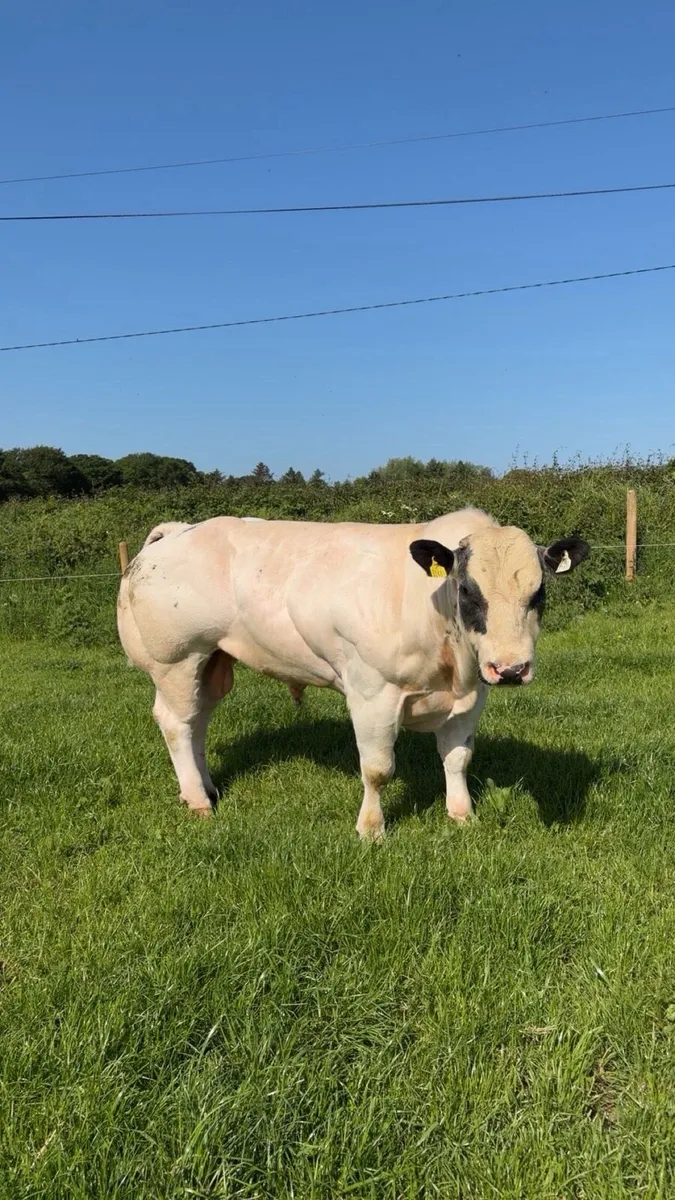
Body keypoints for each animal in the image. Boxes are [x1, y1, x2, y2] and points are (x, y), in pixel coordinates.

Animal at [117, 508, 589, 839]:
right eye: (469, 590)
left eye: (538, 592)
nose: (511, 668)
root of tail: (178, 530)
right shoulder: (372, 694)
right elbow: (378, 769)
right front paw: (371, 830)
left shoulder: (471, 697)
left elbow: (457, 758)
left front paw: (462, 815)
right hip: (177, 659)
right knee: (177, 723)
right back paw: (198, 799)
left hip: (213, 660)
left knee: (199, 719)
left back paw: (207, 787)